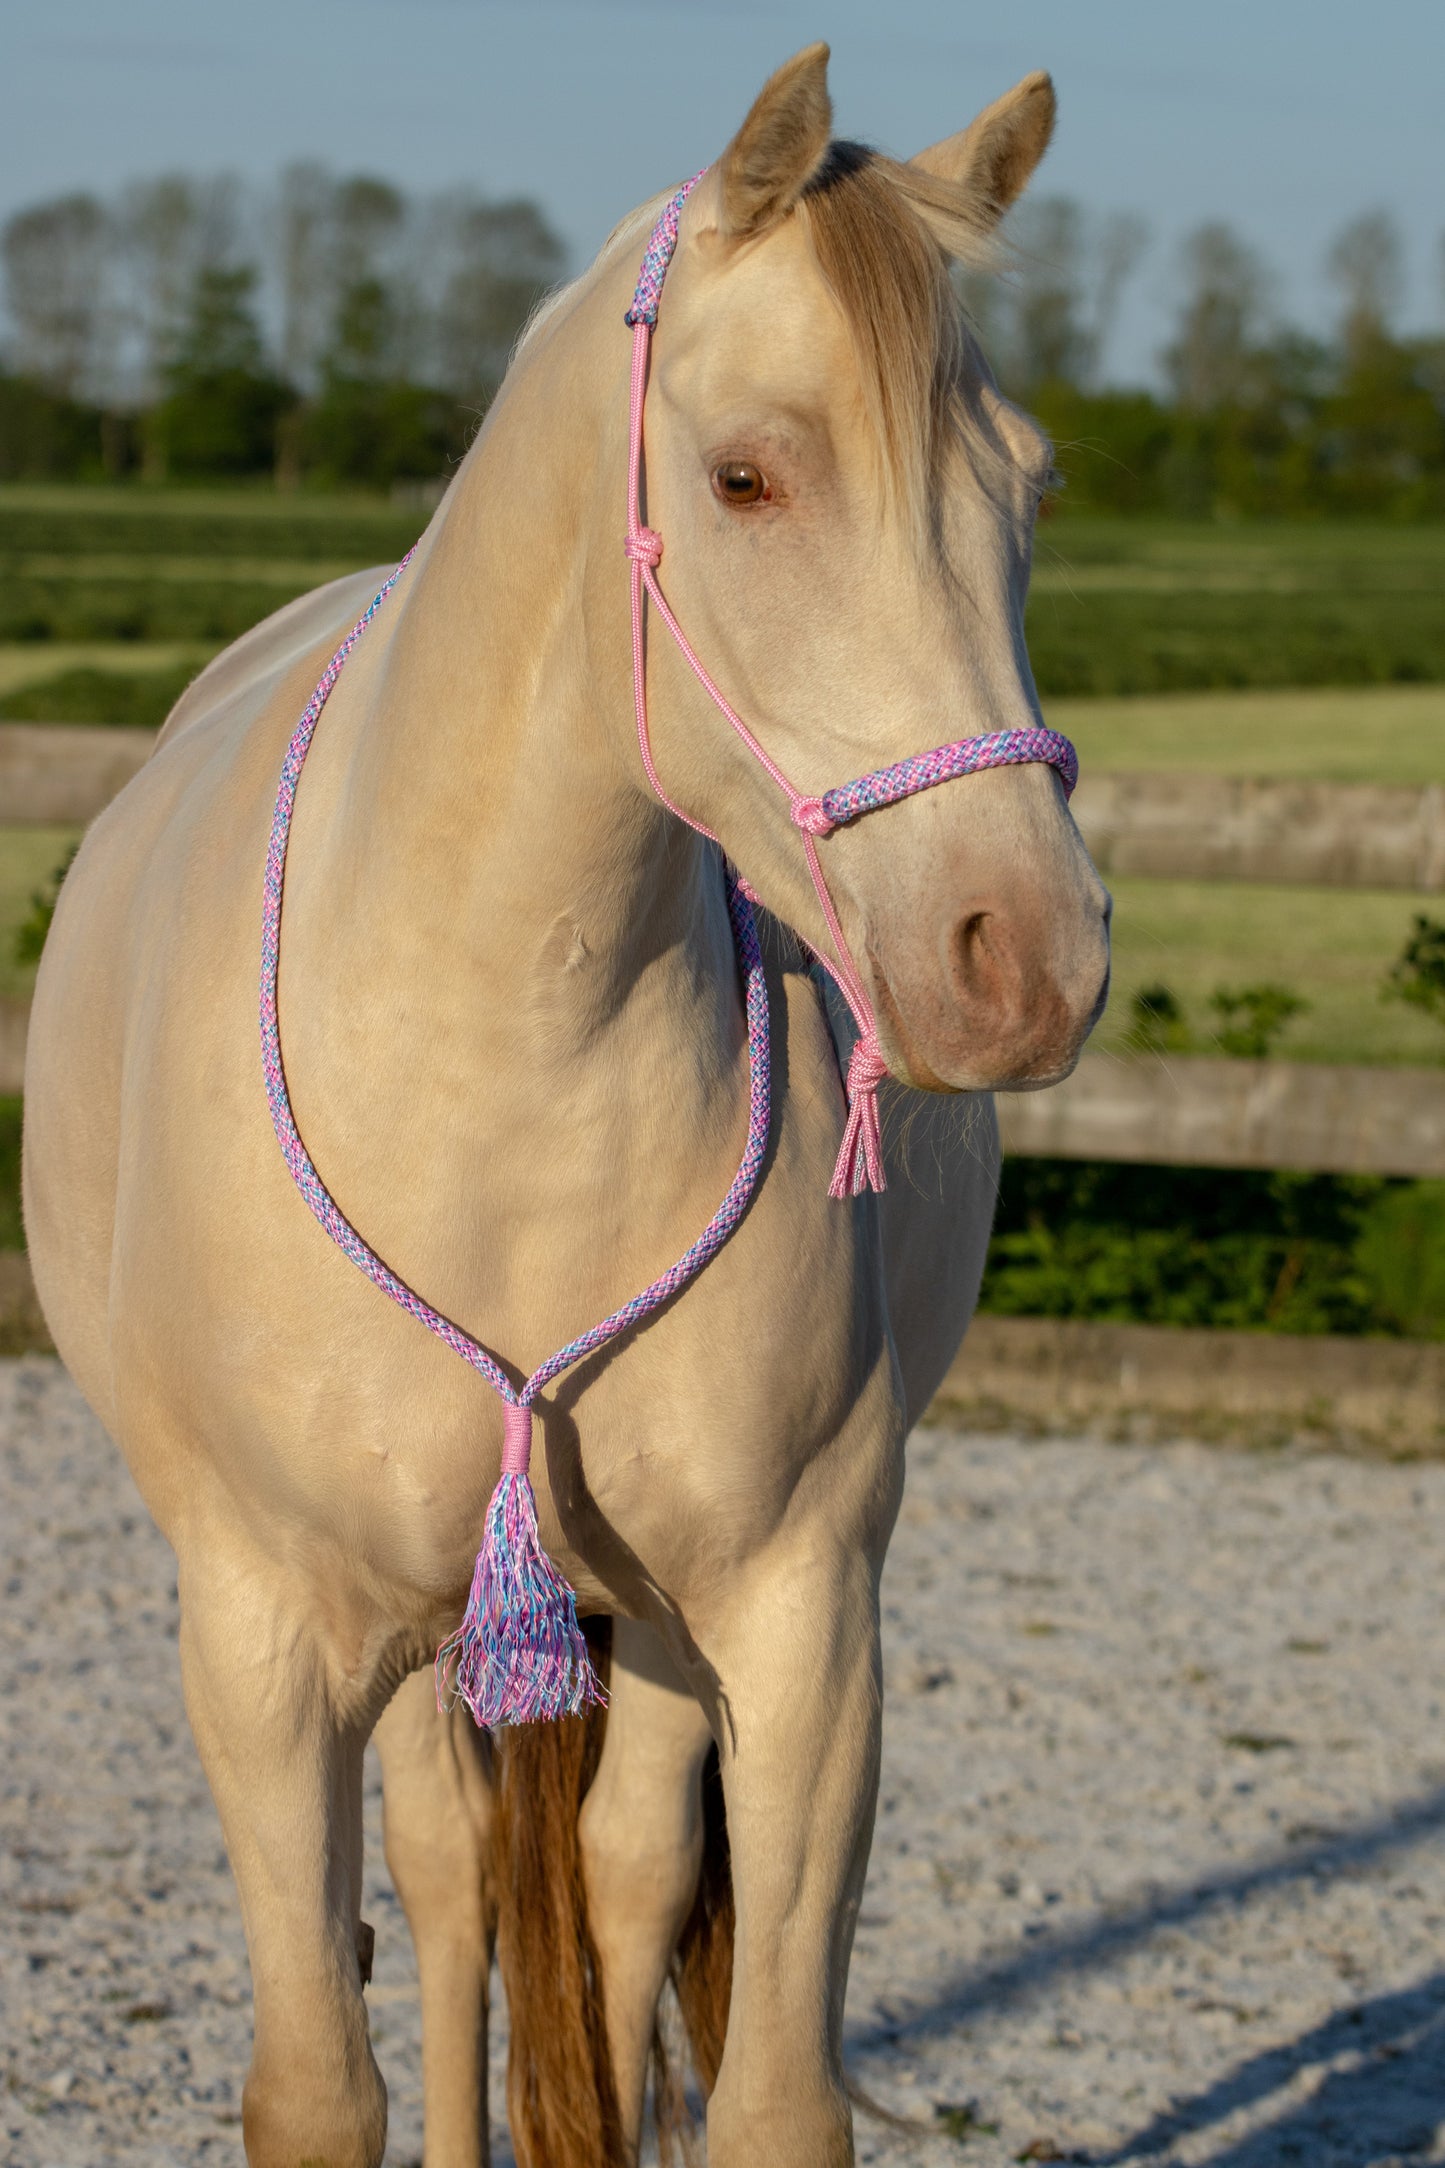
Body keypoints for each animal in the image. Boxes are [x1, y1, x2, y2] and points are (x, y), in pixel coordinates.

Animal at [22, 43, 1109, 2168]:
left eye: (1023, 482)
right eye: (748, 473)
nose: (1022, 955)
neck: (500, 1061)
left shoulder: (800, 1613)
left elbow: (765, 2083)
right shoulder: (263, 1642)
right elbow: (318, 2081)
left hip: (643, 1631)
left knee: (602, 1880)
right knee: (453, 1882)